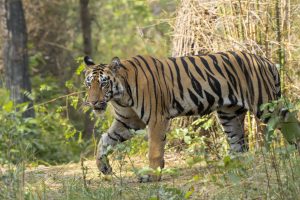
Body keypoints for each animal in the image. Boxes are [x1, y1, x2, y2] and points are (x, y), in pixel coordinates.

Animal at [82, 50, 282, 182]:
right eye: (88, 84)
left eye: (103, 83)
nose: (93, 102)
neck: (120, 96)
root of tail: (267, 60)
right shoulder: (128, 122)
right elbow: (105, 140)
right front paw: (103, 167)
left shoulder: (156, 118)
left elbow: (154, 150)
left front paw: (151, 175)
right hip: (229, 114)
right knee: (239, 144)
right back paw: (233, 168)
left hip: (265, 105)